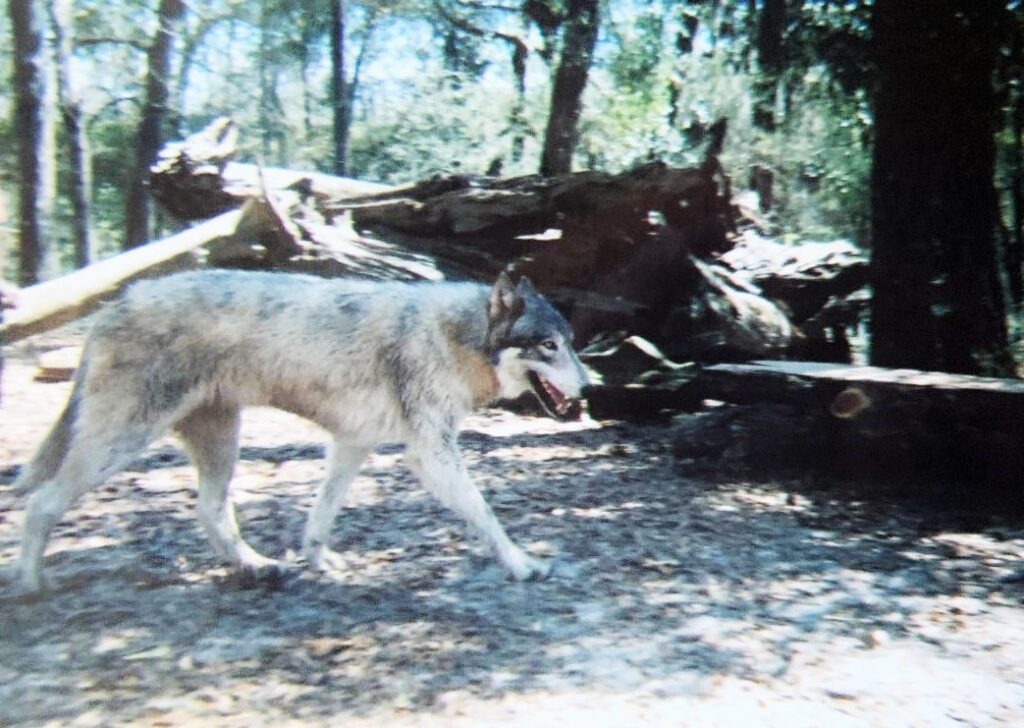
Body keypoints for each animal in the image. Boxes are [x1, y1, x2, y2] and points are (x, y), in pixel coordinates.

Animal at [4, 270, 589, 593]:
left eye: (571, 343)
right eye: (549, 346)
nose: (588, 387)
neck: (459, 337)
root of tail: (115, 301)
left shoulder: (353, 445)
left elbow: (320, 516)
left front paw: (318, 561)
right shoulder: (430, 455)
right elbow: (486, 515)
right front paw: (523, 564)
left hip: (219, 444)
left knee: (211, 513)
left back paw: (261, 568)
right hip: (121, 444)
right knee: (41, 503)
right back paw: (31, 585)